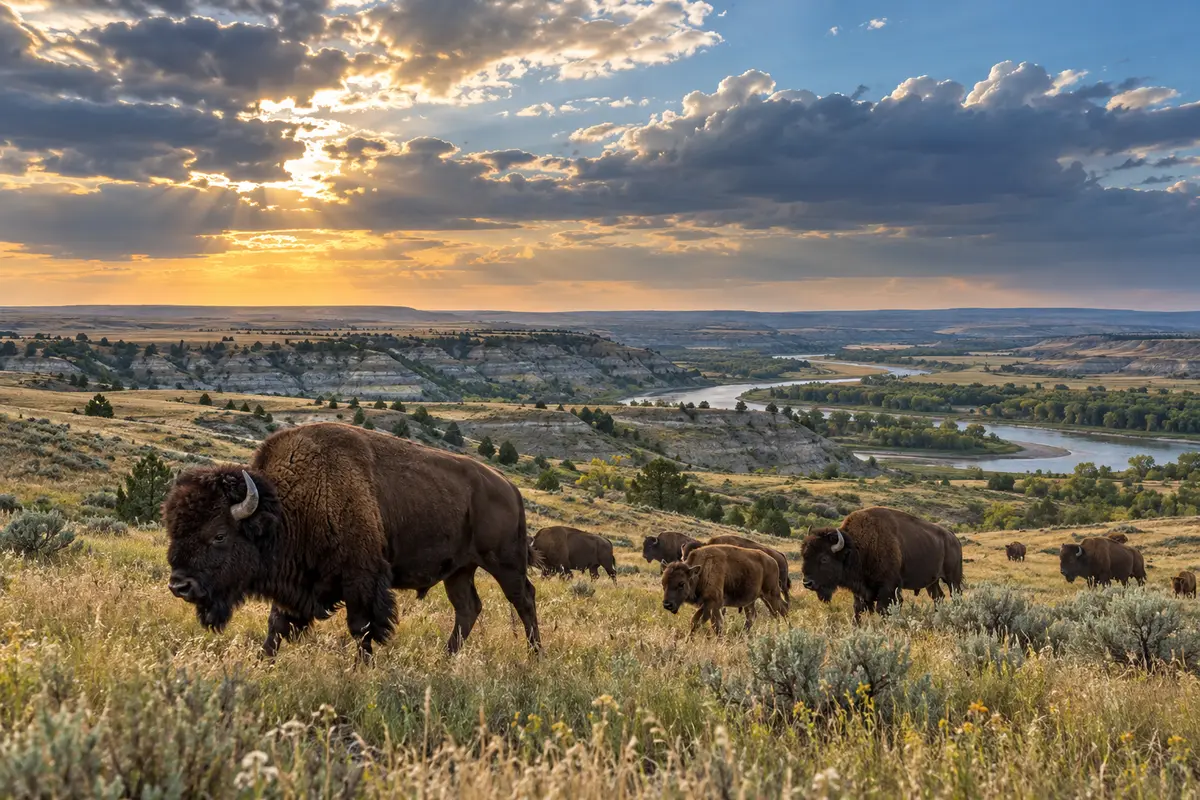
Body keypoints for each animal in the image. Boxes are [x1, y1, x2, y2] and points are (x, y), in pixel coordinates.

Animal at [163, 422, 540, 658]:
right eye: (174, 530)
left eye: (219, 535)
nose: (179, 585)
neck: (287, 507)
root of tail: (509, 487)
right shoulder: (294, 583)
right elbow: (275, 627)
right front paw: (263, 663)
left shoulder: (362, 581)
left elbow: (362, 629)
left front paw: (363, 669)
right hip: (459, 570)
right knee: (467, 608)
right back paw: (445, 660)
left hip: (504, 562)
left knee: (524, 600)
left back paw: (536, 656)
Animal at [800, 506, 963, 619]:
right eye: (804, 555)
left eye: (824, 558)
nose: (807, 583)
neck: (856, 548)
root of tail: (952, 537)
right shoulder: (861, 591)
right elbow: (858, 609)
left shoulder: (888, 588)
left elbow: (883, 610)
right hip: (932, 582)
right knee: (938, 597)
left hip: (952, 579)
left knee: (955, 595)